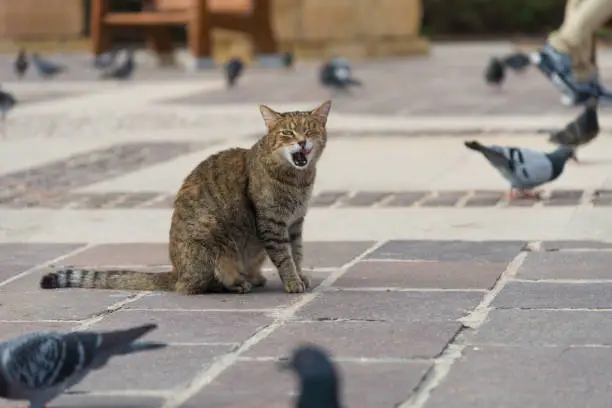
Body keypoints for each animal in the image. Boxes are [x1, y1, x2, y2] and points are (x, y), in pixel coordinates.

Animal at [40, 100, 332, 294]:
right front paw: (292, 282)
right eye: (287, 133)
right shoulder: (272, 224)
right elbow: (284, 257)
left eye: (310, 131)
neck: (298, 179)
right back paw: (239, 283)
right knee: (196, 286)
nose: (302, 142)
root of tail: (176, 271)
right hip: (214, 243)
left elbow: (297, 252)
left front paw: (300, 275)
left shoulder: (295, 223)